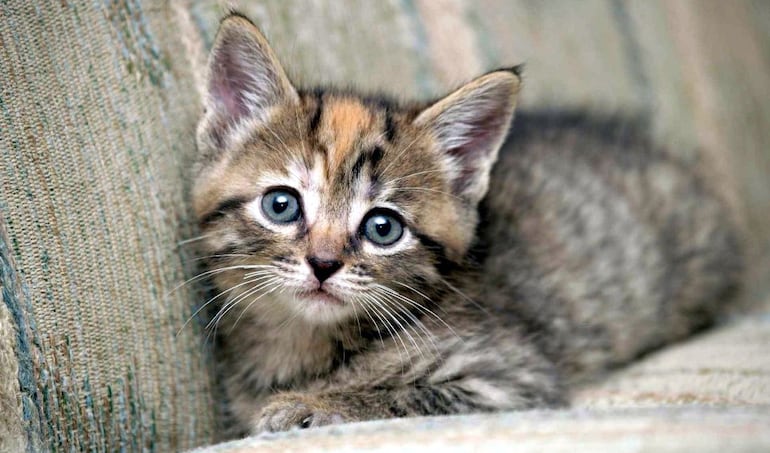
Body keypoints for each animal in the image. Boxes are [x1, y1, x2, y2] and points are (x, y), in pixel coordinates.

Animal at [190, 11, 736, 434]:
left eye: (383, 228)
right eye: (281, 205)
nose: (323, 264)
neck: (304, 341)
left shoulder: (509, 378)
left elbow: (401, 395)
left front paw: (311, 404)